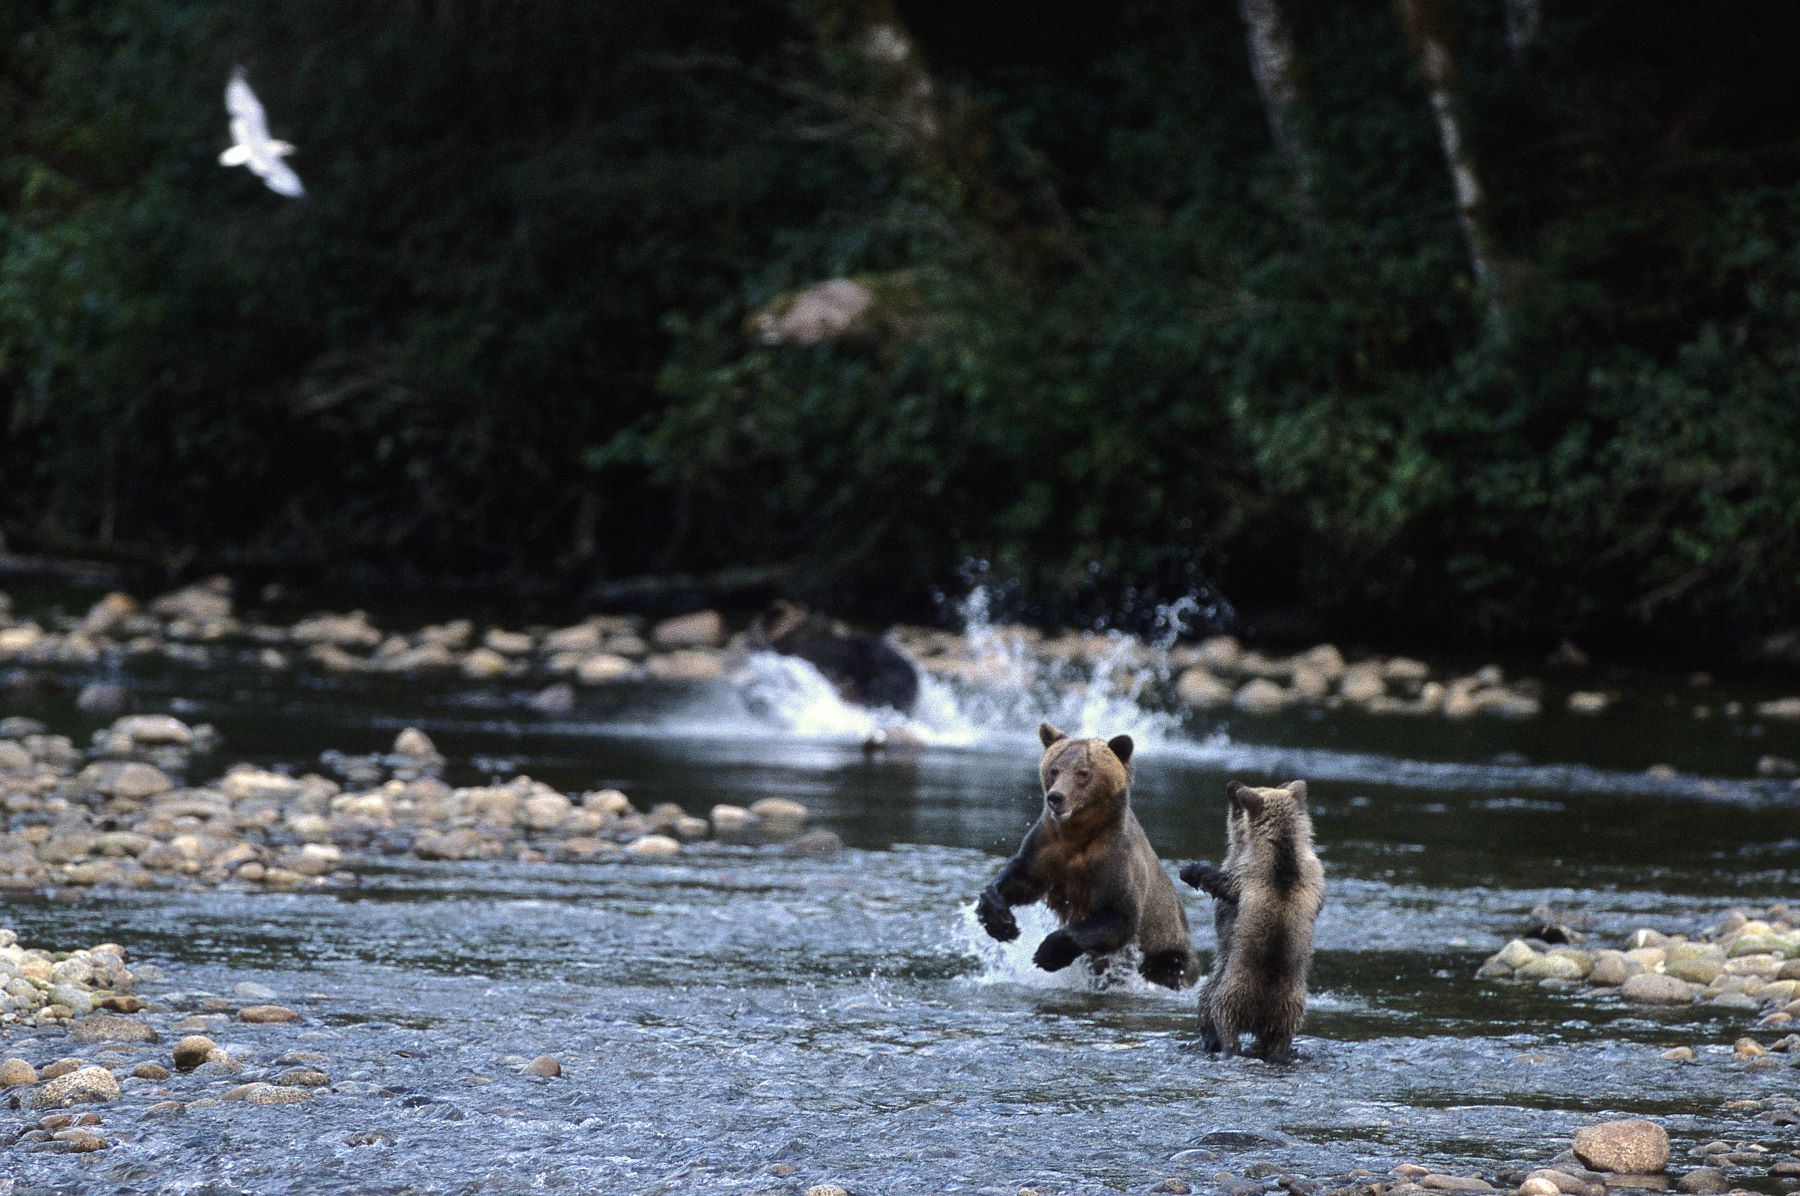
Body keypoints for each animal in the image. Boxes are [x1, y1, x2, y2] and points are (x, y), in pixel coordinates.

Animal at [975, 723, 1200, 989]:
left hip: (1169, 948)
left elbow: (1118, 917)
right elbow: (1021, 880)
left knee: (1166, 967)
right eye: (1054, 770)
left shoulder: (1115, 860)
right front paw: (1002, 922)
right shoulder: (1046, 847)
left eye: (1082, 773)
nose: (1056, 797)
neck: (1078, 834)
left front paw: (1048, 952)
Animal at [1179, 779, 1324, 1063]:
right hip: (1290, 1006)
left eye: (1237, 804)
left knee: (1216, 1014)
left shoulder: (1245, 874)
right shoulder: (1314, 877)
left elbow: (1223, 884)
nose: (1232, 785)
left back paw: (1218, 1044)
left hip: (1228, 990)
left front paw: (1191, 871)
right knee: (1281, 1036)